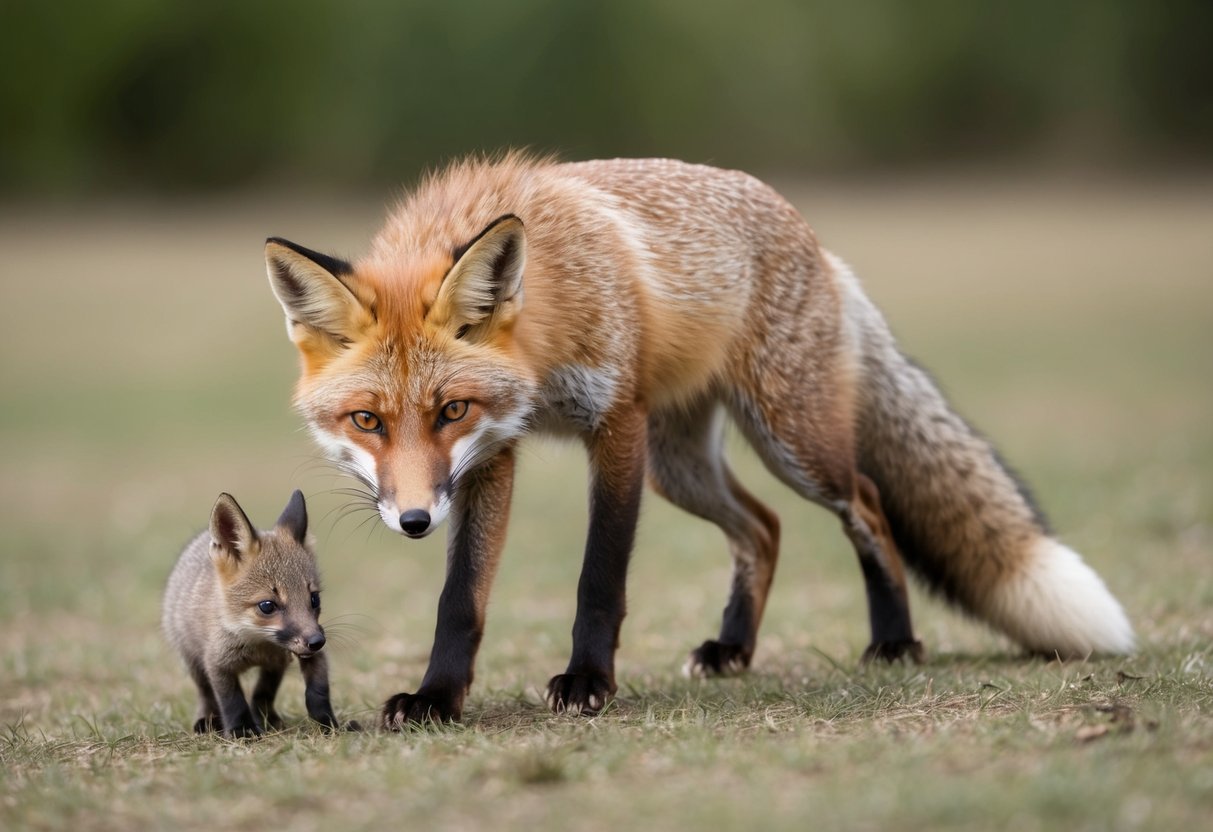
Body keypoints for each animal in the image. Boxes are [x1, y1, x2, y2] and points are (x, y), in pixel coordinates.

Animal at [163, 490, 351, 737]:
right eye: (267, 606)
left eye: (314, 599)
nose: (317, 641)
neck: (258, 644)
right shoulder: (217, 662)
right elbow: (232, 700)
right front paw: (242, 731)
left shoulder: (291, 657)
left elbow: (313, 693)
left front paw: (329, 724)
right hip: (193, 661)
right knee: (205, 695)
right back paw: (207, 721)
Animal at [263, 153, 1134, 727]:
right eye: (367, 421)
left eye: (448, 410)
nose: (412, 521)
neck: (545, 322)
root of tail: (813, 239)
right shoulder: (494, 455)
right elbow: (461, 598)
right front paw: (438, 696)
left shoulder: (613, 424)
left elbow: (599, 578)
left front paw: (587, 681)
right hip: (681, 467)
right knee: (764, 529)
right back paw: (732, 650)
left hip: (790, 444)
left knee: (868, 506)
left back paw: (893, 639)